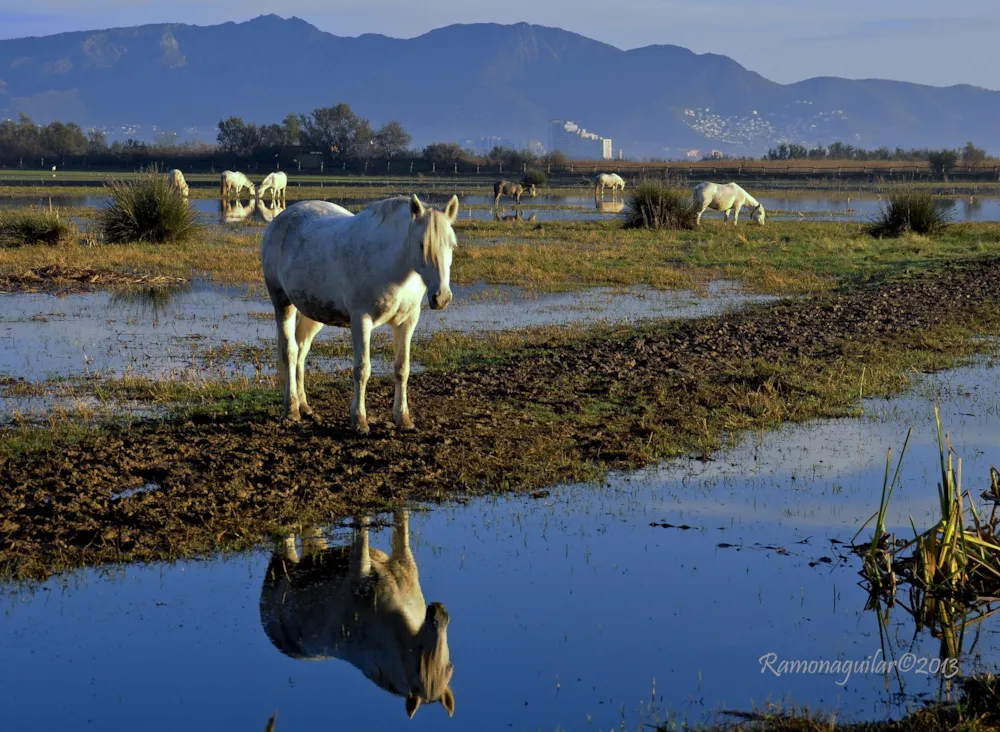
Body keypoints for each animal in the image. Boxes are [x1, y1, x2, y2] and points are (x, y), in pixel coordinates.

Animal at [260, 196, 458, 434]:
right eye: (421, 244)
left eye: (452, 245)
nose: (442, 297)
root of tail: (281, 218)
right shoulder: (361, 321)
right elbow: (362, 370)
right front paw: (359, 421)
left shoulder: (407, 322)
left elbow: (402, 368)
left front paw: (403, 419)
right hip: (282, 303)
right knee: (289, 352)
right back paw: (291, 410)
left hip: (311, 313)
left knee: (301, 350)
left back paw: (304, 405)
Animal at [262, 512, 458, 716]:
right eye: (419, 666)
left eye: (449, 667)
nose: (438, 611)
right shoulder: (358, 573)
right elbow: (362, 530)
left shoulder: (402, 561)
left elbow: (402, 526)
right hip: (282, 567)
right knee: (285, 542)